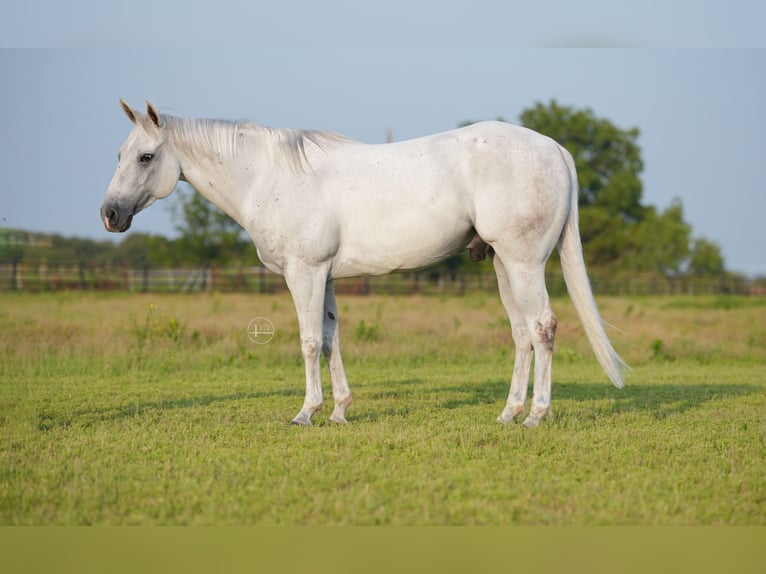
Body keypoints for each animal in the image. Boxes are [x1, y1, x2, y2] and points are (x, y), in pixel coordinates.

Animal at [102, 101, 628, 430]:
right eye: (119, 154)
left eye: (146, 156)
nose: (110, 214)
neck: (270, 177)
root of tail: (553, 148)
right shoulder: (327, 276)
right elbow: (331, 340)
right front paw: (339, 412)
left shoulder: (305, 272)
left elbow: (309, 342)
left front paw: (306, 413)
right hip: (503, 266)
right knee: (522, 335)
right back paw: (509, 413)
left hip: (524, 264)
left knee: (543, 328)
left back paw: (537, 415)